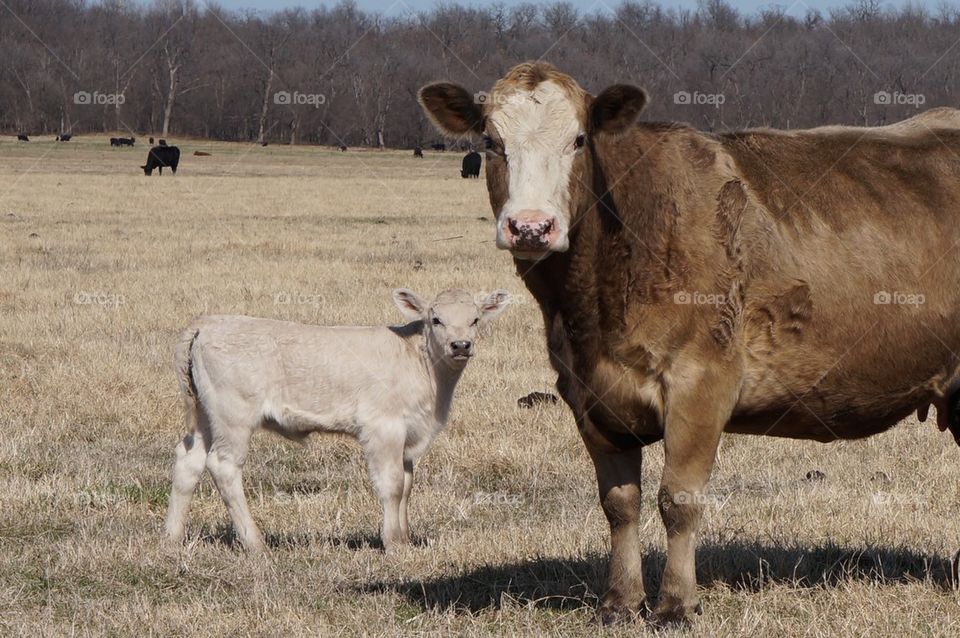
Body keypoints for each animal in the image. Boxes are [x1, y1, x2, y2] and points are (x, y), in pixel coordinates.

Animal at [165, 290, 510, 556]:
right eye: (436, 319)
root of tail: (208, 323)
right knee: (223, 466)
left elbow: (407, 486)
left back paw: (172, 537)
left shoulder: (409, 435)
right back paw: (256, 543)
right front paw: (394, 544)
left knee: (189, 459)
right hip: (232, 416)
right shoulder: (383, 428)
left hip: (205, 415)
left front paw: (406, 538)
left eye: (475, 319)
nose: (460, 345)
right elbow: (393, 486)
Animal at [420, 62, 960, 628]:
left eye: (579, 139)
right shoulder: (587, 394)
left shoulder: (702, 384)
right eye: (491, 141)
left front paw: (676, 604)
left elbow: (677, 500)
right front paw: (620, 601)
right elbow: (619, 503)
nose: (530, 227)